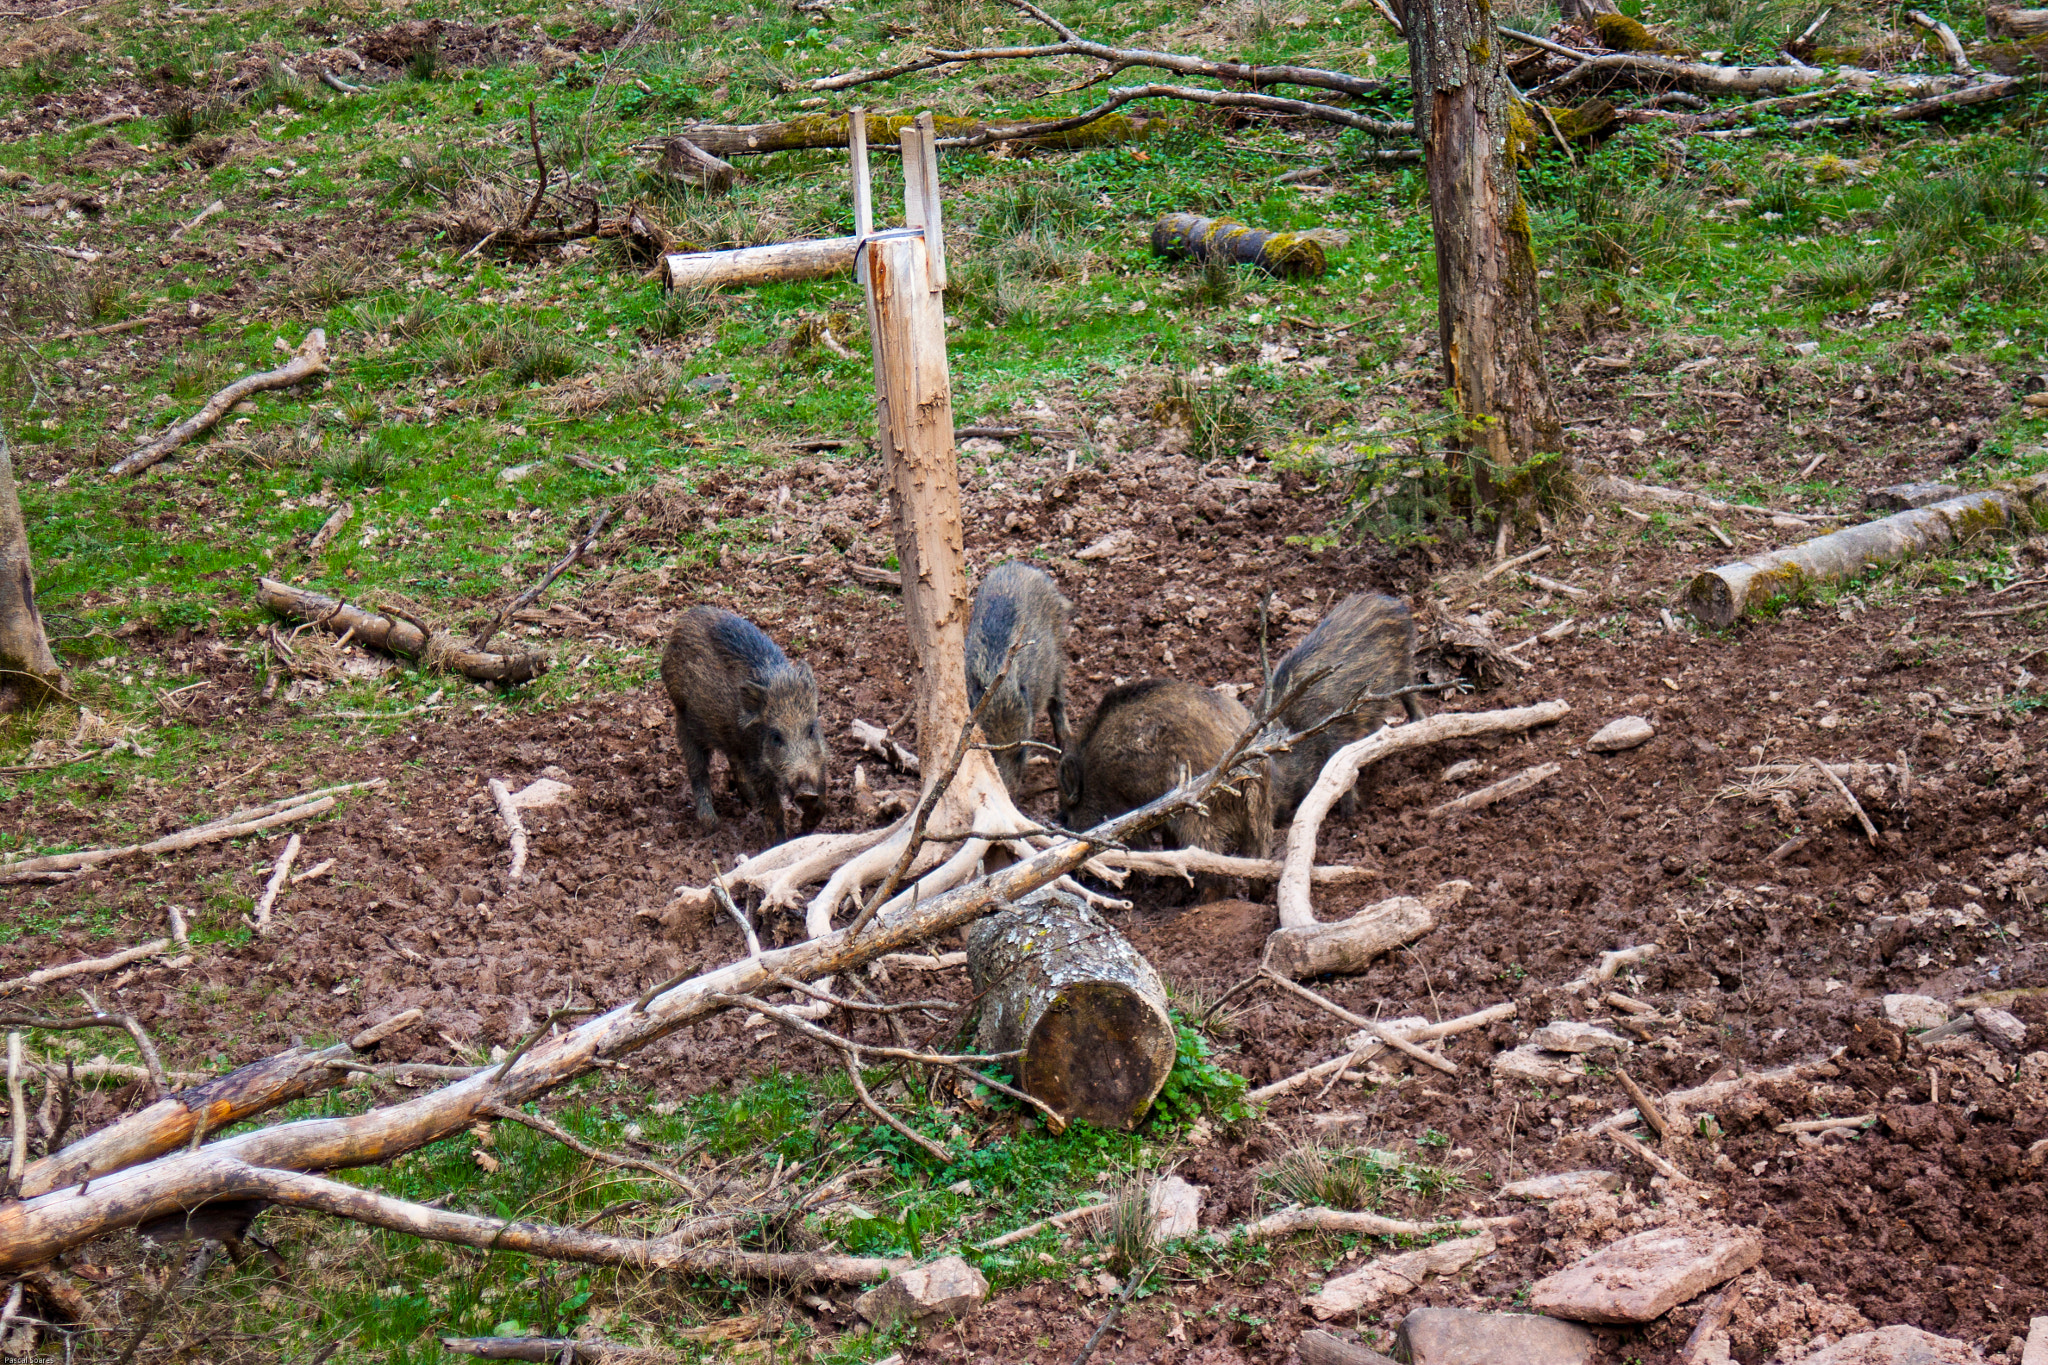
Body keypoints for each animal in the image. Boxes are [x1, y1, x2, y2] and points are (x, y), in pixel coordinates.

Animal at [659, 606, 826, 843]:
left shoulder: (819, 760)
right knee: (697, 770)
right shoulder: (758, 766)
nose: (805, 791)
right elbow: (773, 810)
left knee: (732, 759)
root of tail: (683, 619)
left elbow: (821, 801)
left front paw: (806, 829)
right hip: (683, 720)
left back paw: (749, 804)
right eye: (776, 736)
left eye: (811, 729)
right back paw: (712, 826)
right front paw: (780, 844)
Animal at [966, 561, 1074, 796]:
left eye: (1021, 753)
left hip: (1057, 652)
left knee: (1058, 698)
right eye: (990, 754)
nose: (1010, 796)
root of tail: (1020, 565)